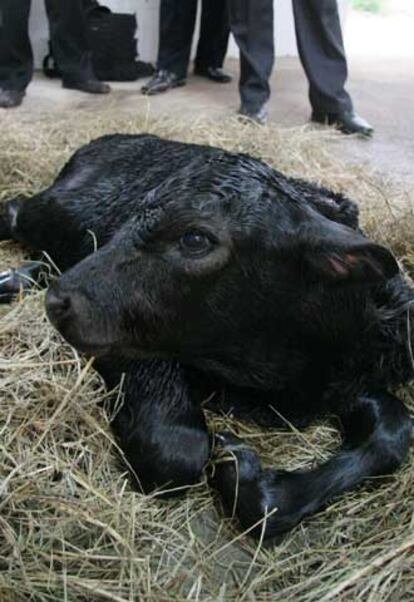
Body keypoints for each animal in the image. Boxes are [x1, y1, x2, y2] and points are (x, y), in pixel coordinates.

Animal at [1, 134, 412, 536]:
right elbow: (178, 449)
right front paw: (235, 461)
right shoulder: (133, 343)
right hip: (52, 212)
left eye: (196, 239)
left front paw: (250, 480)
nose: (60, 300)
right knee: (15, 209)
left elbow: (394, 429)